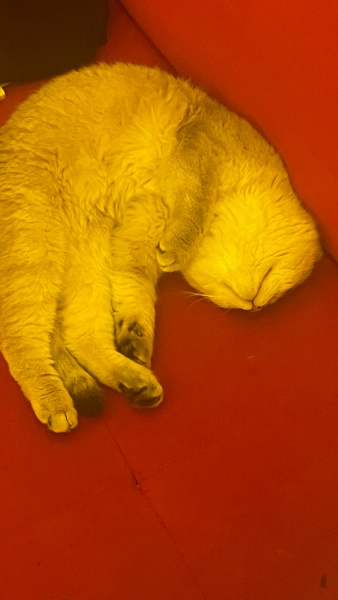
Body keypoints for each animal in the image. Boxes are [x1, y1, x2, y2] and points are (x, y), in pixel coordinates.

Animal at [0, 62, 322, 432]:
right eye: (272, 277)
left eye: (272, 294)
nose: (254, 306)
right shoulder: (198, 150)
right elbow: (195, 202)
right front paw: (179, 245)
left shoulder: (138, 225)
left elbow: (134, 282)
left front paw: (137, 333)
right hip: (35, 252)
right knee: (18, 338)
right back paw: (55, 403)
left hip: (87, 265)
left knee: (81, 336)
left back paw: (135, 382)